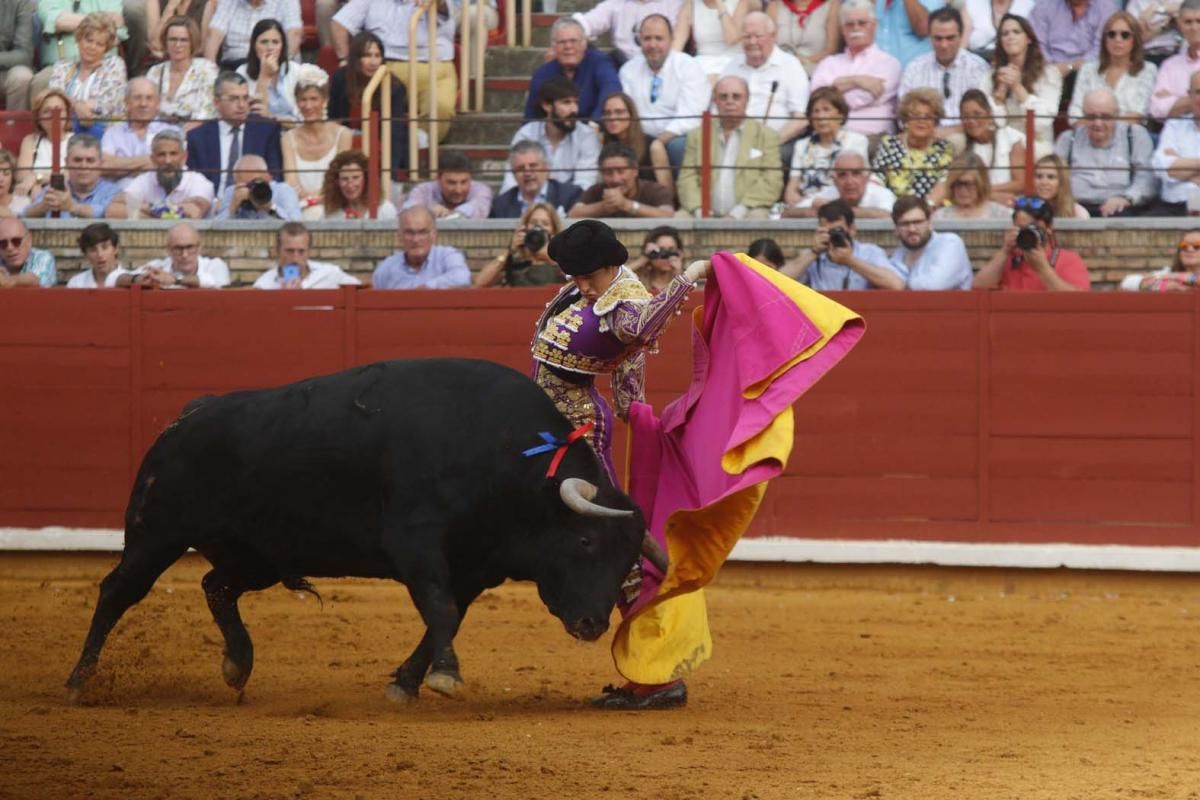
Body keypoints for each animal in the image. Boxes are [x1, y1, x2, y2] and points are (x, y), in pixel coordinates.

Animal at [68, 359, 667, 705]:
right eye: (586, 542)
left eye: (627, 560)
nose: (592, 625)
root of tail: (185, 419)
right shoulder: (417, 545)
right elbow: (440, 610)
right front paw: (445, 678)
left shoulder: (474, 567)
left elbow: (447, 616)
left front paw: (406, 682)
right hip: (157, 532)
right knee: (119, 590)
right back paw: (80, 679)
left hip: (258, 555)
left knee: (215, 585)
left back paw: (238, 664)